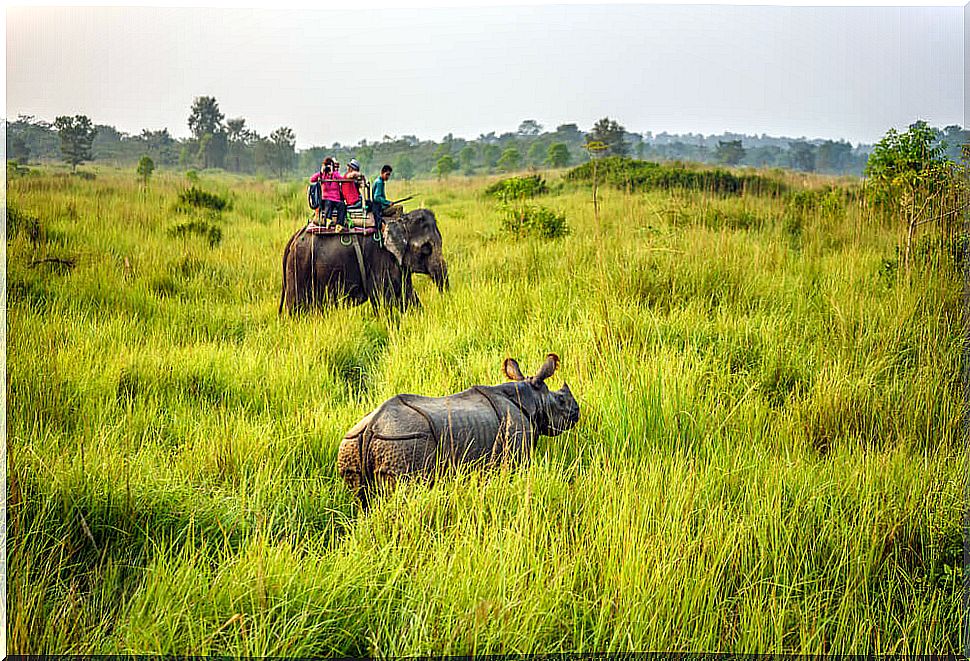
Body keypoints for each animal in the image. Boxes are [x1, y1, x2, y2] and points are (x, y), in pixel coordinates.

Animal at [278, 211, 448, 314]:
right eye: (426, 248)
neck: (400, 220)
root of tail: (294, 237)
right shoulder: (379, 258)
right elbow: (382, 299)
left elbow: (407, 295)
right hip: (300, 265)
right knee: (296, 307)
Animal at [334, 356, 576, 506]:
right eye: (561, 400)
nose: (578, 412)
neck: (531, 398)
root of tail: (371, 428)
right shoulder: (516, 450)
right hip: (403, 442)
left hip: (353, 443)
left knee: (361, 499)